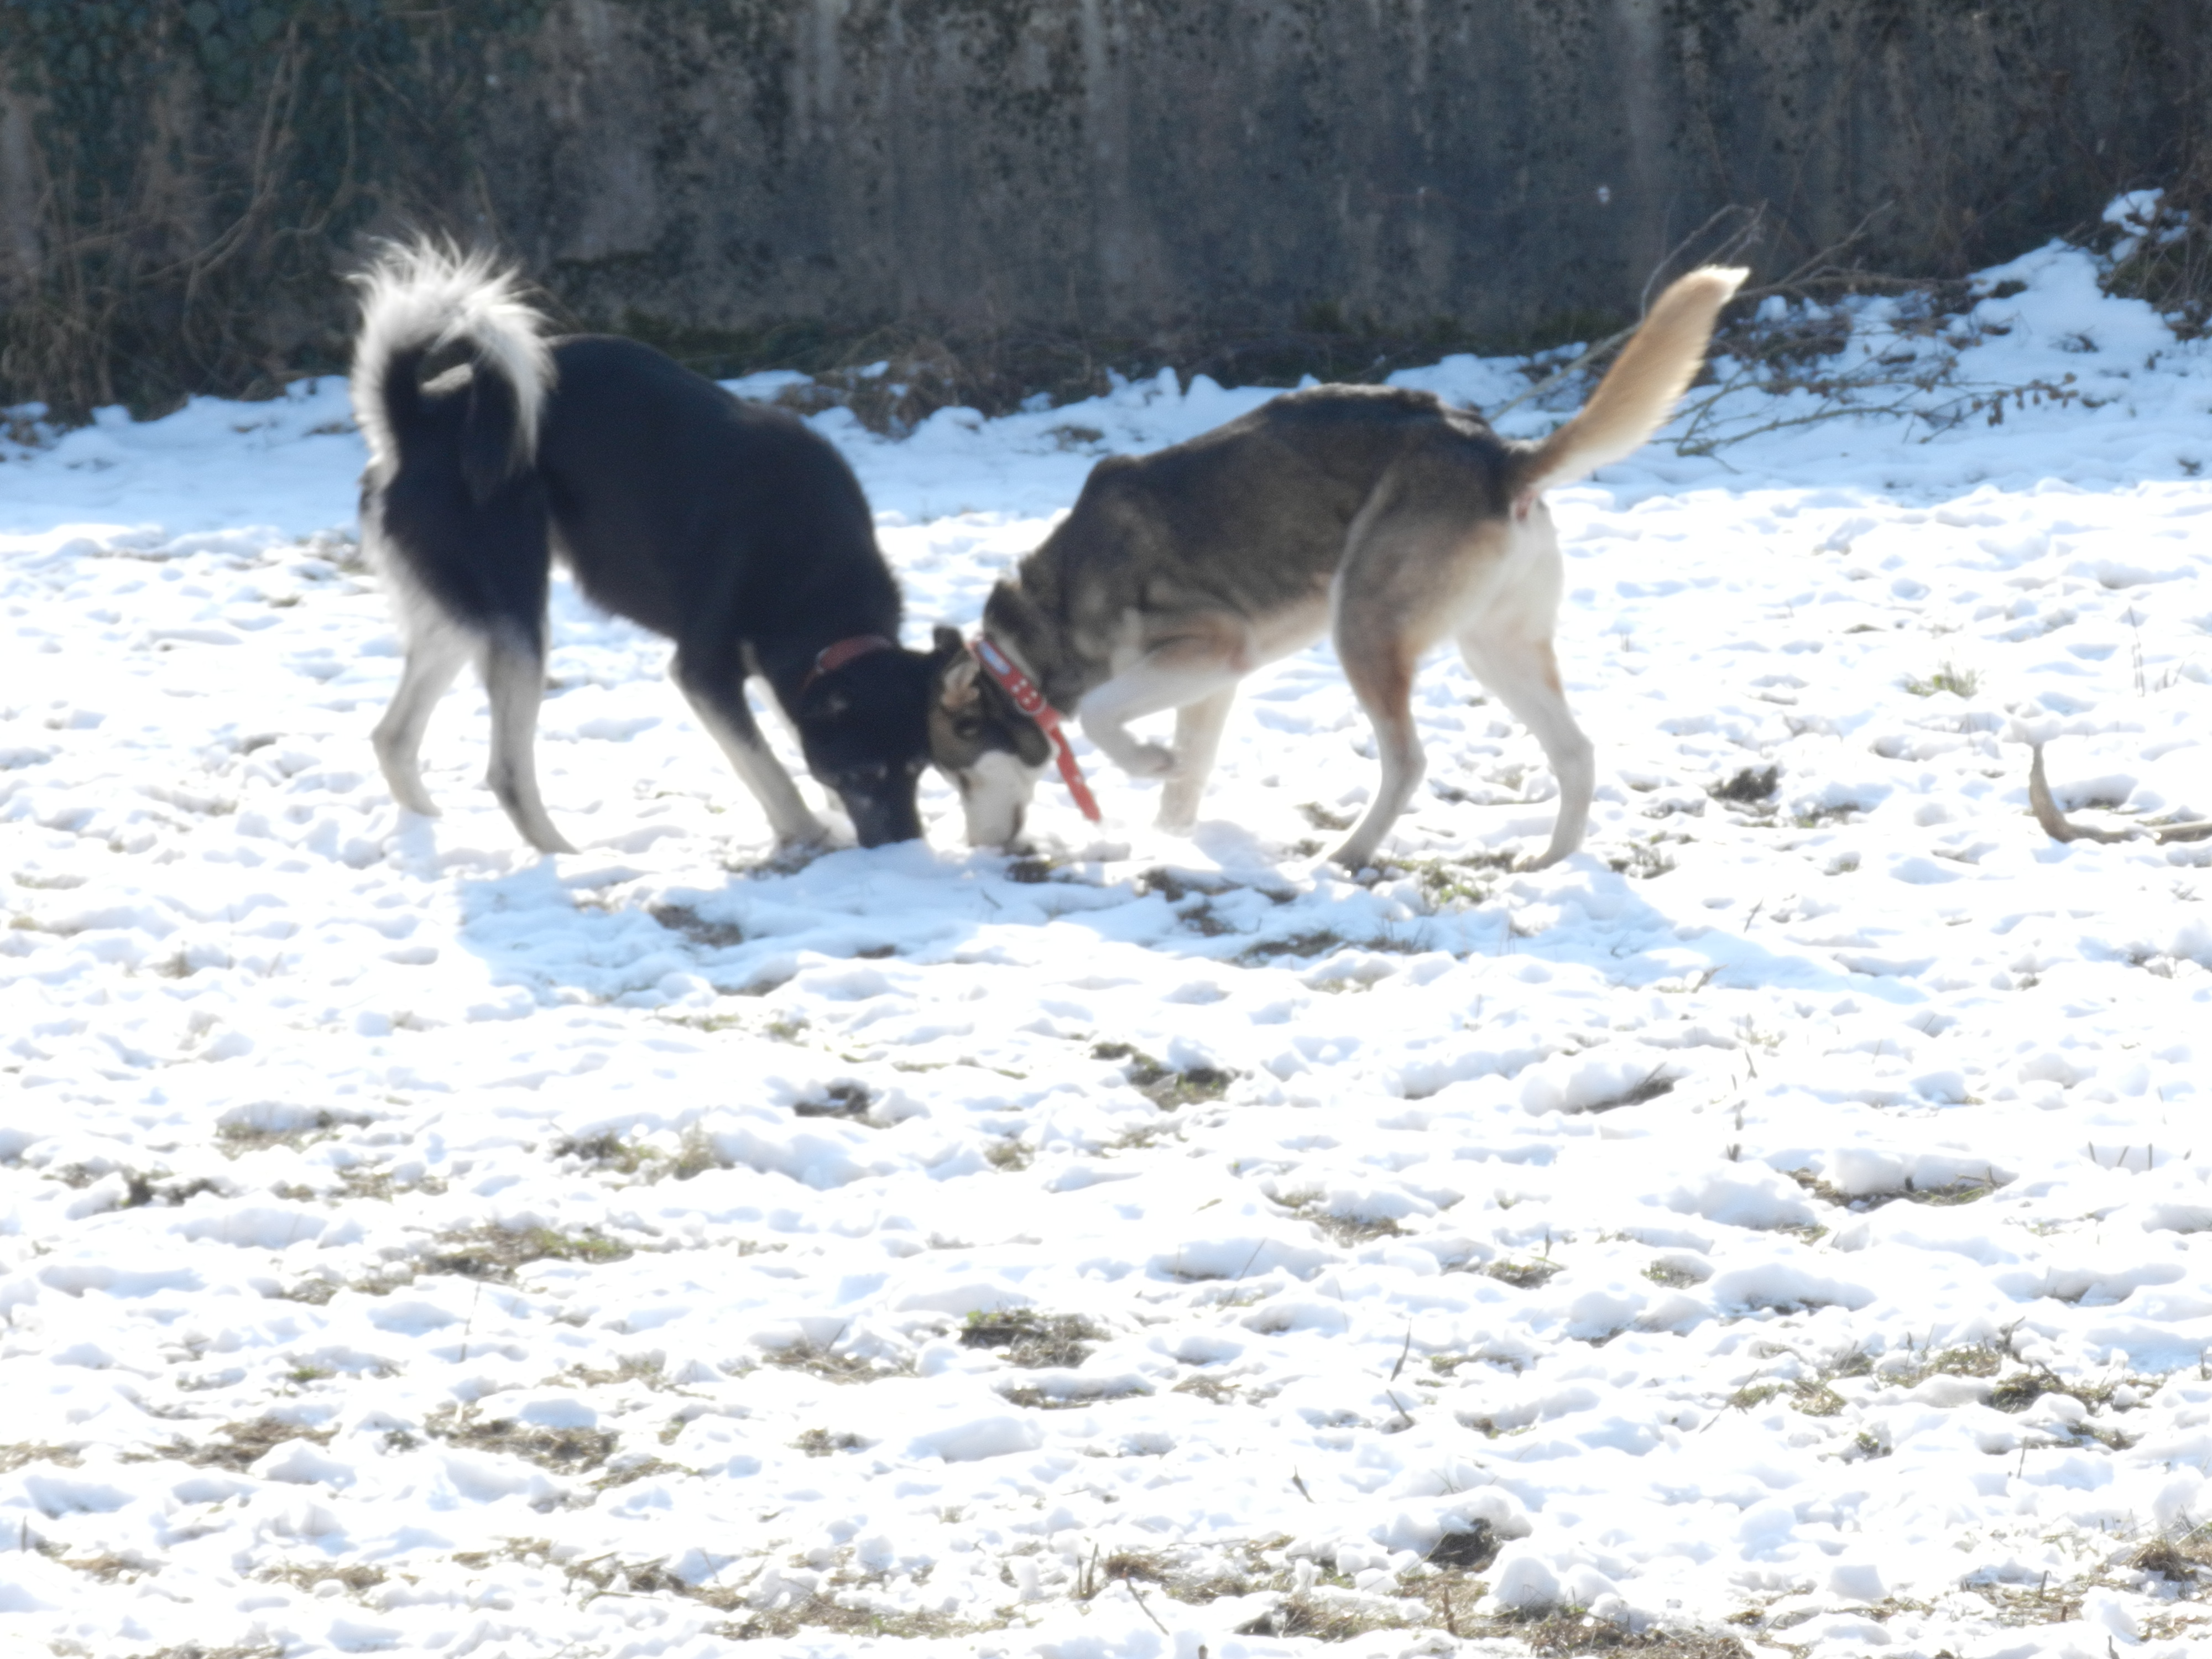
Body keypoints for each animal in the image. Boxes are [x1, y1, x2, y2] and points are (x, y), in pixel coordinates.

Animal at [354, 243, 960, 858]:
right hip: (516, 619)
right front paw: (810, 833)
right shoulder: (703, 674)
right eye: (865, 774)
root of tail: (416, 421)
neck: (816, 575)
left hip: (464, 617)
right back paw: (566, 855)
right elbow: (771, 770)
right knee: (505, 772)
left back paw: (428, 827)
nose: (906, 848)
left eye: (919, 768)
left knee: (391, 737)